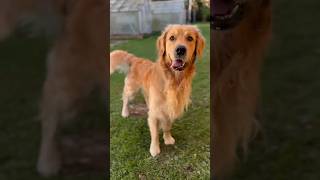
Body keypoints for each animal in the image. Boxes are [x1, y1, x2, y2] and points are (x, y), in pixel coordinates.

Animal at [110, 24, 205, 157]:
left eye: (190, 38)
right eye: (172, 38)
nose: (180, 50)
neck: (171, 80)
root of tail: (136, 59)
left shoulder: (170, 108)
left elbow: (167, 126)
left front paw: (168, 138)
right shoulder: (155, 112)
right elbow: (154, 133)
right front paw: (154, 149)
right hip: (131, 89)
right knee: (125, 99)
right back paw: (125, 112)